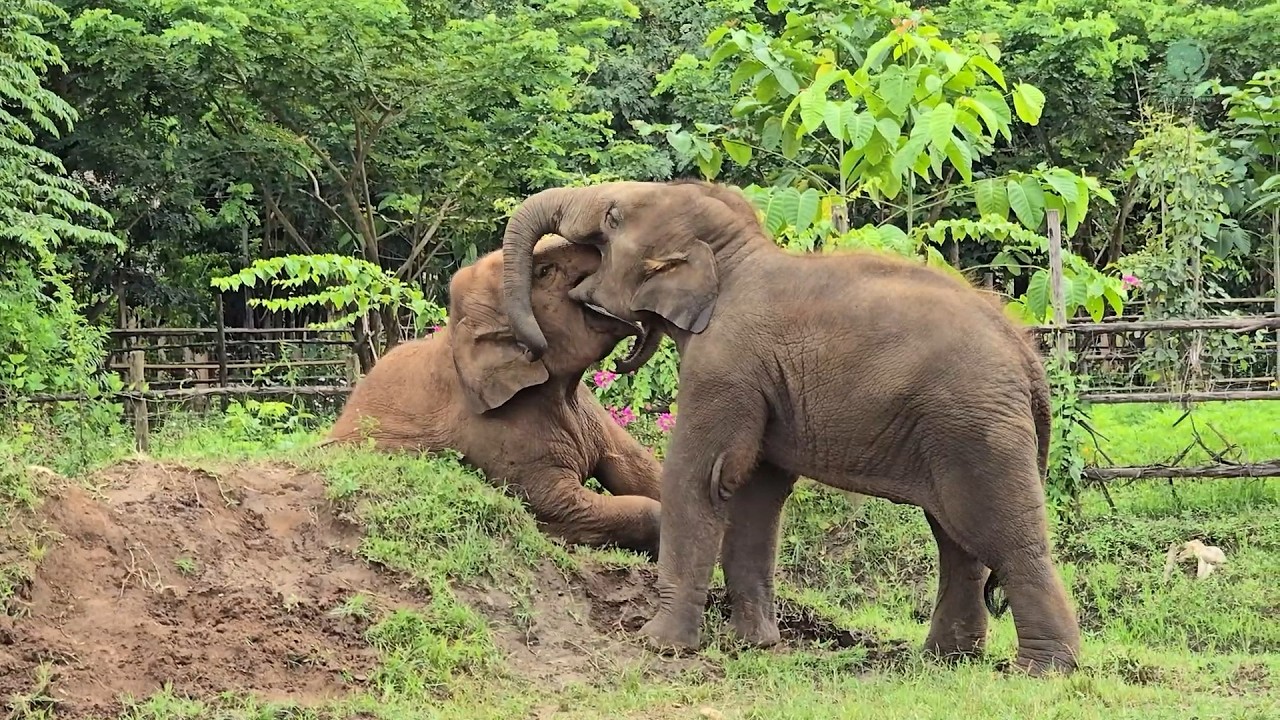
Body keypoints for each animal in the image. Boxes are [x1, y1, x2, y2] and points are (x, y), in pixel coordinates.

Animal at [494, 179, 1081, 676]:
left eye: (612, 219)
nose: (534, 346)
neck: (734, 255)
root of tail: (1028, 357)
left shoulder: (725, 365)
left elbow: (700, 478)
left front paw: (657, 645)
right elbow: (756, 493)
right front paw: (752, 644)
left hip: (976, 427)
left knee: (1003, 537)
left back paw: (1044, 672)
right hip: (954, 429)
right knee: (958, 540)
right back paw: (943, 661)